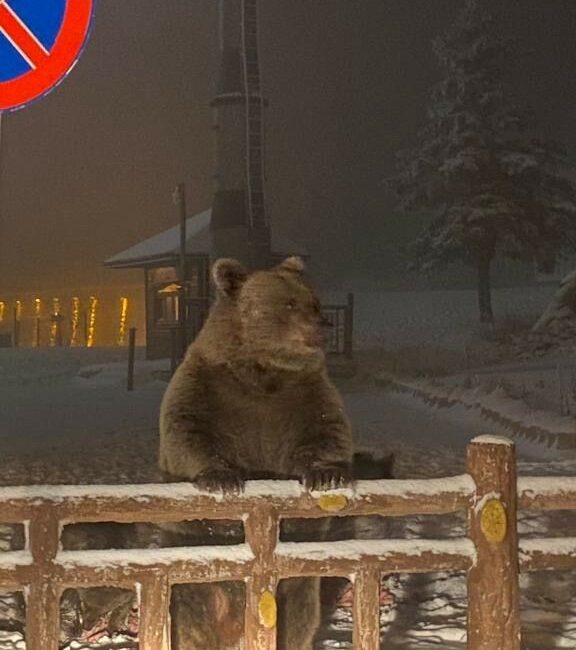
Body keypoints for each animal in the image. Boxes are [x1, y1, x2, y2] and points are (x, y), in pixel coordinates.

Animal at [160, 256, 354, 644]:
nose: (323, 325)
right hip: (195, 585)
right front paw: (222, 477)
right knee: (190, 624)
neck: (262, 371)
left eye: (314, 300)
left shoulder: (304, 394)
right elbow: (187, 428)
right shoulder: (208, 384)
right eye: (289, 304)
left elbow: (328, 430)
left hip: (294, 586)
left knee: (299, 622)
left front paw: (326, 473)